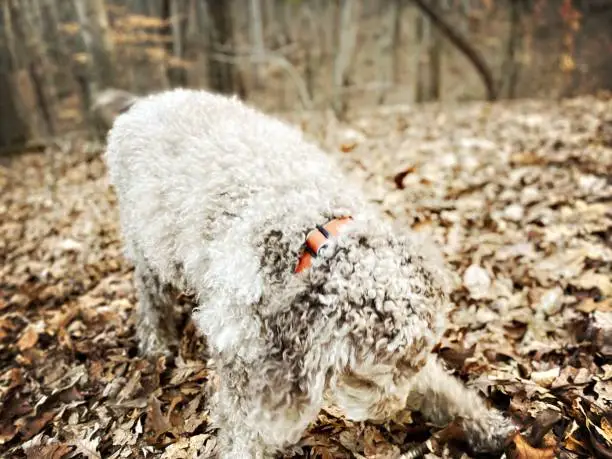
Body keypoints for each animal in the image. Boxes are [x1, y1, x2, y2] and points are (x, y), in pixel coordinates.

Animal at [104, 88, 516, 458]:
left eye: (415, 362)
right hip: (145, 244)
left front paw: (489, 426)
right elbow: (245, 426)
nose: (393, 410)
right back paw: (157, 343)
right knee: (151, 295)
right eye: (366, 377)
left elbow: (444, 389)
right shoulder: (245, 351)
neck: (313, 235)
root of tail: (147, 100)